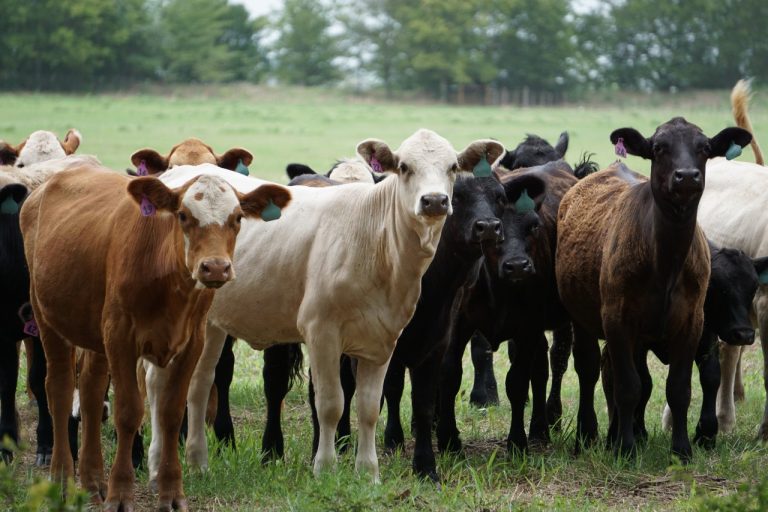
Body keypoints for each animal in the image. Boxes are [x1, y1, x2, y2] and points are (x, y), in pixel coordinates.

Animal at [21, 162, 290, 511]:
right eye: (183, 215)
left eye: (237, 218)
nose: (215, 267)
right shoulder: (121, 338)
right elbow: (128, 412)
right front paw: (121, 493)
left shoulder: (191, 343)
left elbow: (171, 412)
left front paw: (171, 493)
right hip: (47, 318)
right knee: (60, 389)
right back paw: (63, 481)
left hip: (94, 333)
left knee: (91, 391)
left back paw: (93, 481)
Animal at [172, 130, 501, 482]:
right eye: (403, 167)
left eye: (452, 167)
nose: (435, 201)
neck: (374, 241)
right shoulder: (323, 333)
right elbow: (331, 403)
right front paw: (325, 467)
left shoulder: (390, 339)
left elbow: (374, 406)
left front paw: (374, 472)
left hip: (212, 326)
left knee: (198, 383)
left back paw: (196, 460)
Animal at [437, 160, 578, 455]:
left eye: (533, 225)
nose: (517, 266)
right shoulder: (458, 325)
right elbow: (450, 374)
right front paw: (448, 439)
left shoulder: (528, 328)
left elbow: (518, 382)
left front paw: (517, 442)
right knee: (541, 368)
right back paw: (539, 428)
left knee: (556, 362)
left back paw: (548, 421)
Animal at [555, 118, 751, 460]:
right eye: (659, 148)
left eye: (704, 148)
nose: (687, 176)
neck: (665, 265)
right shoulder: (617, 321)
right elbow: (628, 387)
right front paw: (626, 448)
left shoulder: (692, 324)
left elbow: (679, 388)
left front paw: (682, 449)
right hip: (582, 319)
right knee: (589, 369)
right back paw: (587, 434)